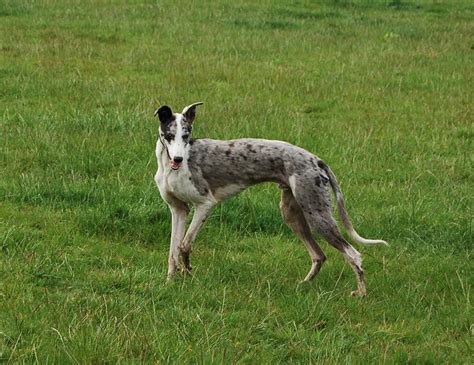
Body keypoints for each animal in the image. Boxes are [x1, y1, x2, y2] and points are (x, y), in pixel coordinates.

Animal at [154, 101, 386, 294]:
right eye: (169, 135)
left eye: (186, 135)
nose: (178, 159)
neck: (171, 166)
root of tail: (316, 160)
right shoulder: (179, 210)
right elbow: (172, 252)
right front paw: (170, 283)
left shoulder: (205, 204)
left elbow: (184, 246)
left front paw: (188, 270)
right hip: (292, 214)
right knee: (319, 255)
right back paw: (303, 285)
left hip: (317, 214)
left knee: (353, 254)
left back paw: (361, 293)